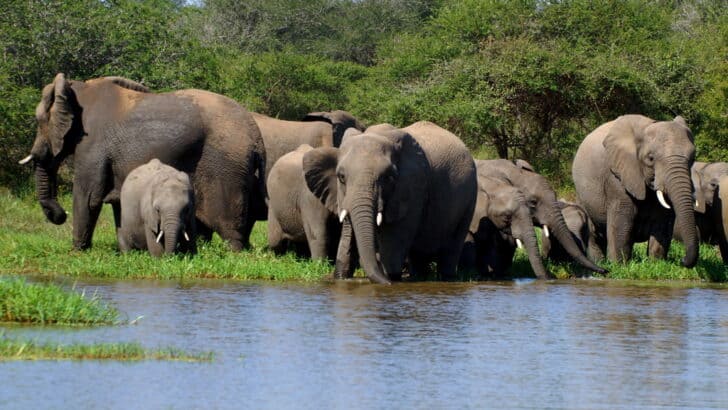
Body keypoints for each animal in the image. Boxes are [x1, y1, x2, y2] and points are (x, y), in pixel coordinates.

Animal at [18, 74, 266, 251]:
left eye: (39, 121)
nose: (60, 215)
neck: (76, 88)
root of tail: (256, 136)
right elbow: (117, 203)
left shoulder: (92, 145)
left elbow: (88, 197)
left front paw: (78, 252)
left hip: (226, 167)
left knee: (227, 226)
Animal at [302, 121, 477, 284]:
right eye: (341, 177)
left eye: (388, 177)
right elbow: (348, 231)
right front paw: (341, 277)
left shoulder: (414, 188)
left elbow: (395, 237)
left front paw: (390, 278)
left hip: (470, 197)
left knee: (453, 244)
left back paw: (446, 278)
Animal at [572, 115, 698, 267]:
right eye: (650, 158)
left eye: (693, 158)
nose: (682, 260)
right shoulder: (616, 175)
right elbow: (622, 219)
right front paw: (619, 267)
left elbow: (663, 223)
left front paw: (656, 264)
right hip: (581, 195)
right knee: (593, 233)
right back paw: (600, 263)